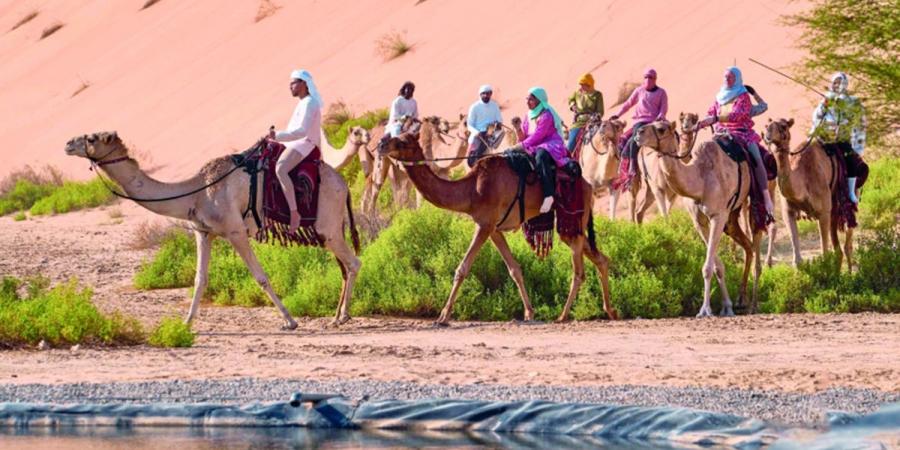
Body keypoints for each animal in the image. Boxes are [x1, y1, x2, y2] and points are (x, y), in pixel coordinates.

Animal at [64, 130, 362, 326]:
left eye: (91, 138)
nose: (67, 143)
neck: (197, 192)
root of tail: (344, 184)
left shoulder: (235, 231)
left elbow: (261, 277)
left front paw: (290, 320)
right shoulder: (203, 232)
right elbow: (200, 279)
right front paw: (186, 322)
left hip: (329, 225)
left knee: (354, 263)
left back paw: (342, 317)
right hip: (329, 230)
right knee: (345, 266)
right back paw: (338, 315)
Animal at [380, 125, 620, 326]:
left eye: (403, 141)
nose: (382, 144)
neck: (472, 190)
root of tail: (587, 184)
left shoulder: (484, 224)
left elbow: (462, 268)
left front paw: (443, 316)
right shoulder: (494, 228)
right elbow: (514, 269)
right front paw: (529, 313)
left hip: (573, 218)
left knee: (579, 271)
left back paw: (563, 315)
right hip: (572, 224)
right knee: (601, 258)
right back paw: (610, 311)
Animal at [632, 120, 760, 316]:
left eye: (661, 129)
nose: (638, 133)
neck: (700, 181)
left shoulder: (717, 216)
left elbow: (707, 267)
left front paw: (705, 310)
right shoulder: (699, 222)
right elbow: (716, 266)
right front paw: (727, 306)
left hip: (757, 199)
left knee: (757, 239)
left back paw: (753, 304)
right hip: (731, 218)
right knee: (748, 247)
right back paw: (741, 300)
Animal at [764, 118, 856, 270]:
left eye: (783, 126)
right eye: (767, 126)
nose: (767, 135)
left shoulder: (823, 212)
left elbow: (825, 254)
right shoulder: (788, 212)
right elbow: (797, 261)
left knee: (847, 238)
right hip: (833, 210)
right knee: (838, 249)